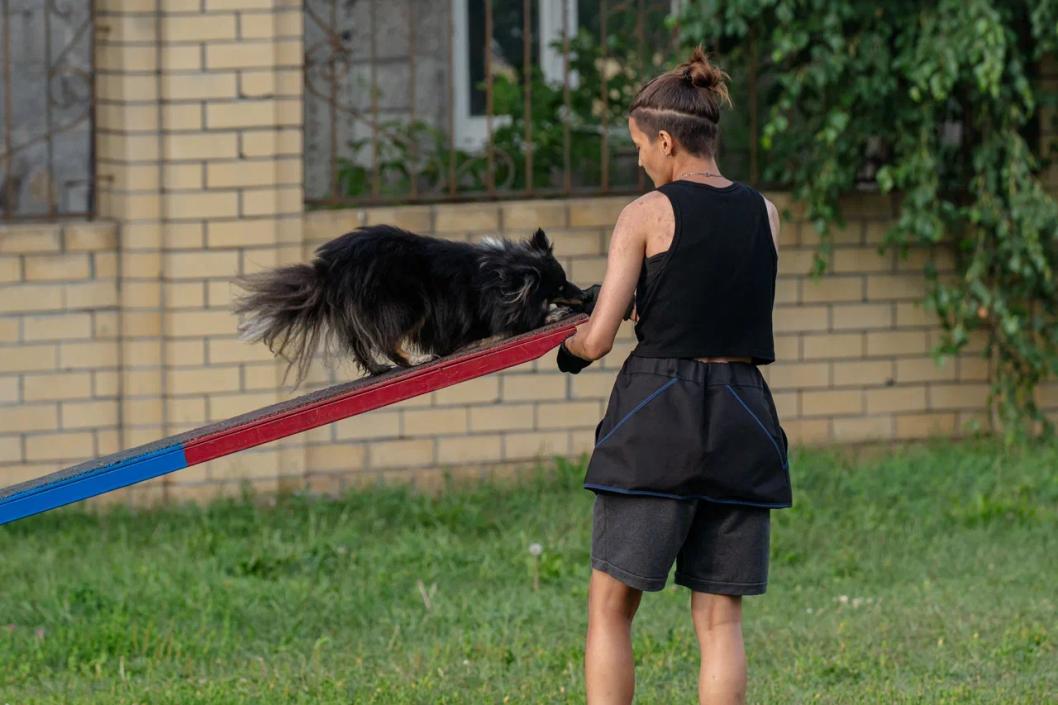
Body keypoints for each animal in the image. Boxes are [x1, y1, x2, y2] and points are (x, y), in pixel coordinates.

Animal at [232, 225, 592, 385]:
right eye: (560, 287)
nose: (586, 295)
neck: (503, 274)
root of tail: (329, 268)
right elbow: (521, 324)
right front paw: (555, 313)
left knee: (361, 345)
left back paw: (379, 368)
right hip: (411, 303)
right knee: (386, 340)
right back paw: (414, 360)